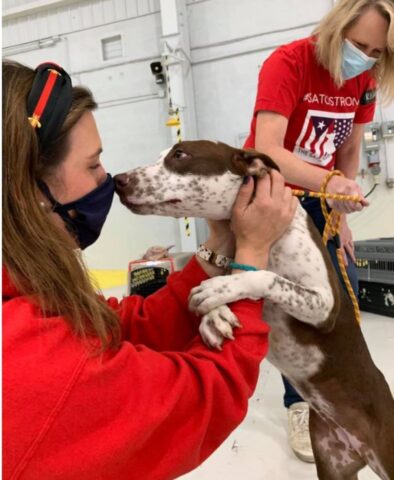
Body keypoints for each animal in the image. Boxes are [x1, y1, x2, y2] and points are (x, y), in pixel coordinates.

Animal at [114, 141, 394, 478]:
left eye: (180, 155)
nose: (117, 180)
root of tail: (357, 446)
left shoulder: (324, 305)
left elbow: (266, 276)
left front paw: (218, 291)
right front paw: (215, 314)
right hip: (332, 465)